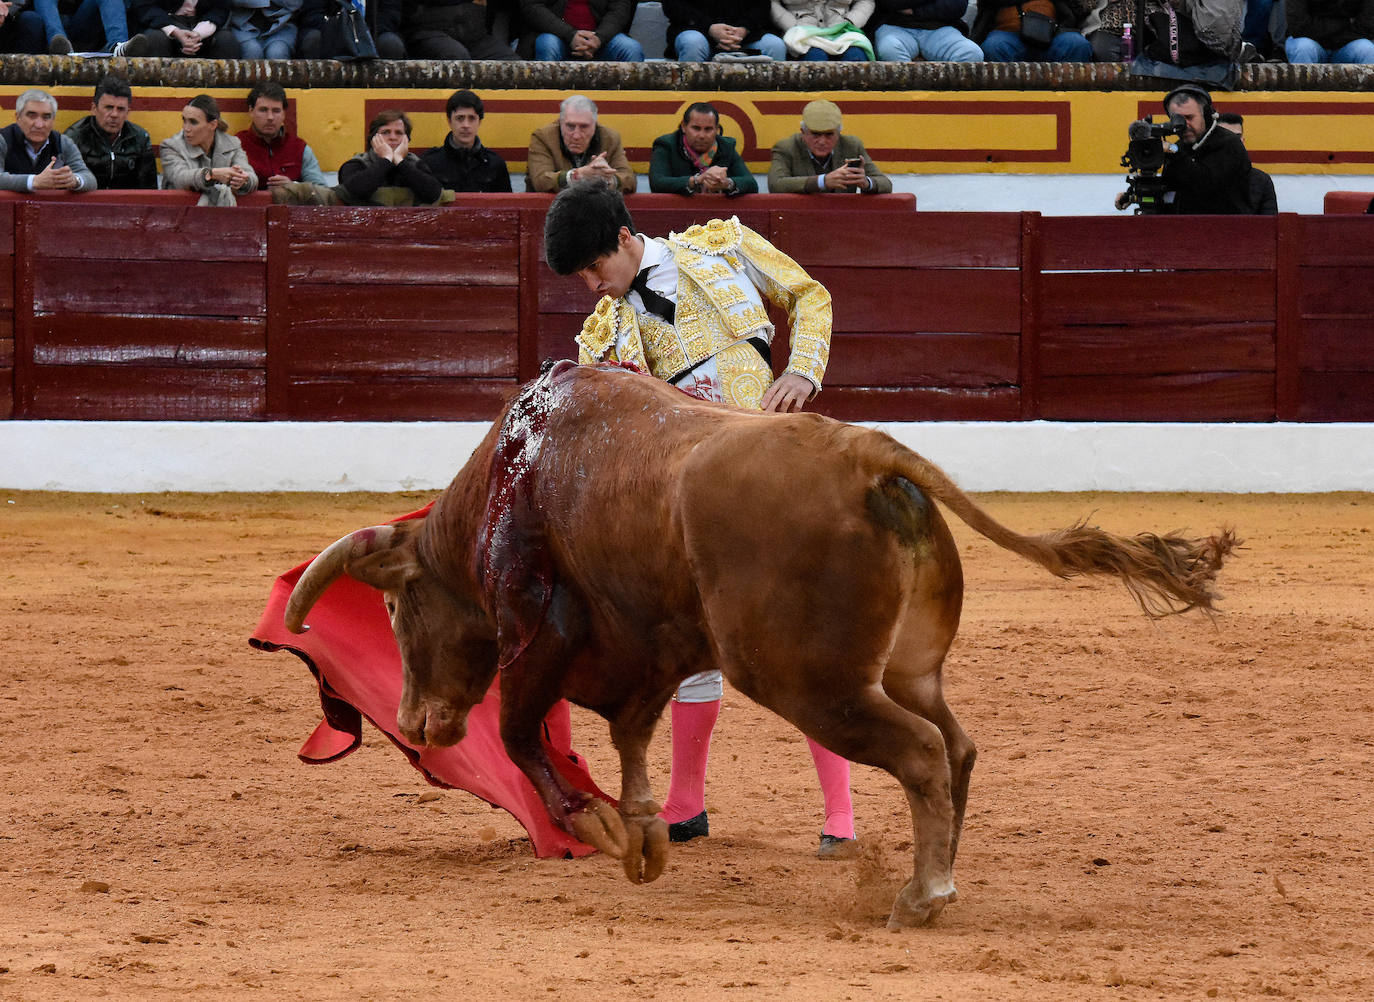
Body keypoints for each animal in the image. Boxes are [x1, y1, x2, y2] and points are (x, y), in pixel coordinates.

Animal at [281, 354, 1236, 923]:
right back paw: (938, 873)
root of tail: (866, 453)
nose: (417, 723)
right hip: (905, 669)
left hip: (805, 679)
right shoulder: (648, 649)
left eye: (396, 611)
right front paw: (644, 834)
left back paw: (920, 894)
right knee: (955, 744)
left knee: (921, 751)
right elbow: (632, 735)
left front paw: (602, 828)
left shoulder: (540, 636)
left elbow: (525, 738)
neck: (513, 475)